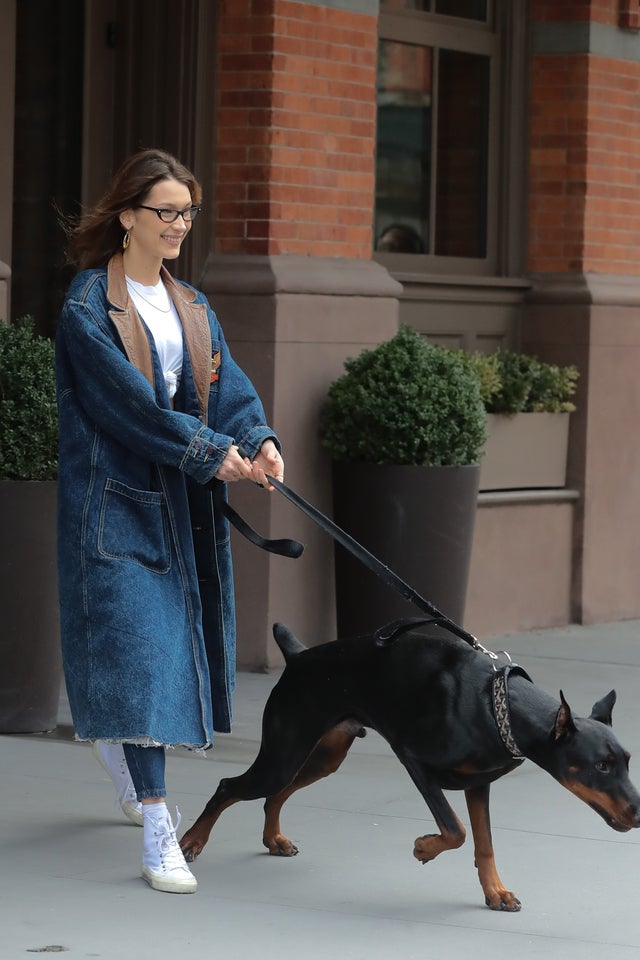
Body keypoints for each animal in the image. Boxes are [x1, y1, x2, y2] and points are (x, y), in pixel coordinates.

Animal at [180, 620, 640, 912]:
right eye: (601, 766)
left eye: (626, 762)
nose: (639, 813)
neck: (500, 708)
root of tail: (298, 658)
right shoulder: (414, 759)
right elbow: (455, 829)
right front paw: (424, 847)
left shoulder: (479, 784)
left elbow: (485, 842)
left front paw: (497, 893)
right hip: (285, 751)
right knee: (230, 786)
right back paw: (191, 842)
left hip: (324, 756)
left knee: (275, 792)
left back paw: (273, 838)